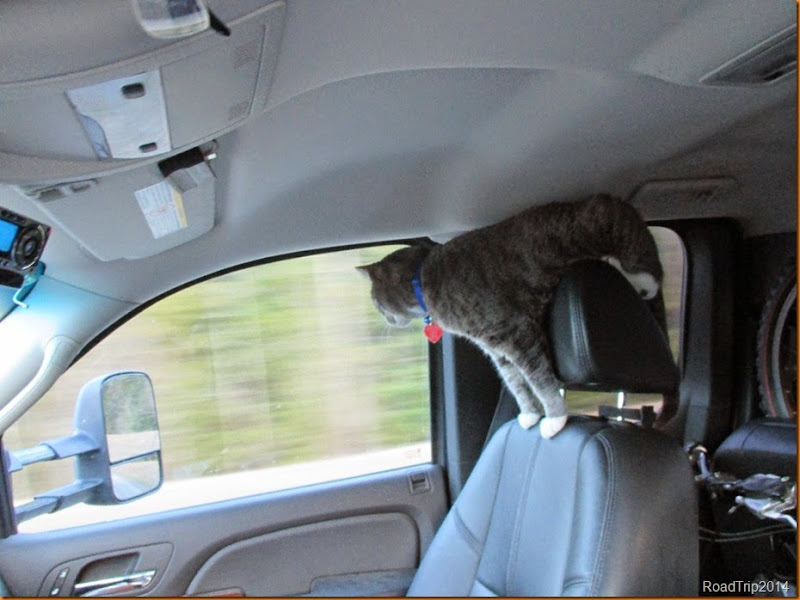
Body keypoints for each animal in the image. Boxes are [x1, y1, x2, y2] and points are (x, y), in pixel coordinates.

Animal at [357, 194, 673, 439]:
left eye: (375, 301)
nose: (384, 319)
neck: (422, 279)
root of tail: (617, 199)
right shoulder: (495, 347)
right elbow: (515, 383)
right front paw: (530, 414)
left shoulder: (515, 332)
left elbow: (539, 379)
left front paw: (555, 418)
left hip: (608, 227)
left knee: (648, 266)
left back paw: (634, 275)